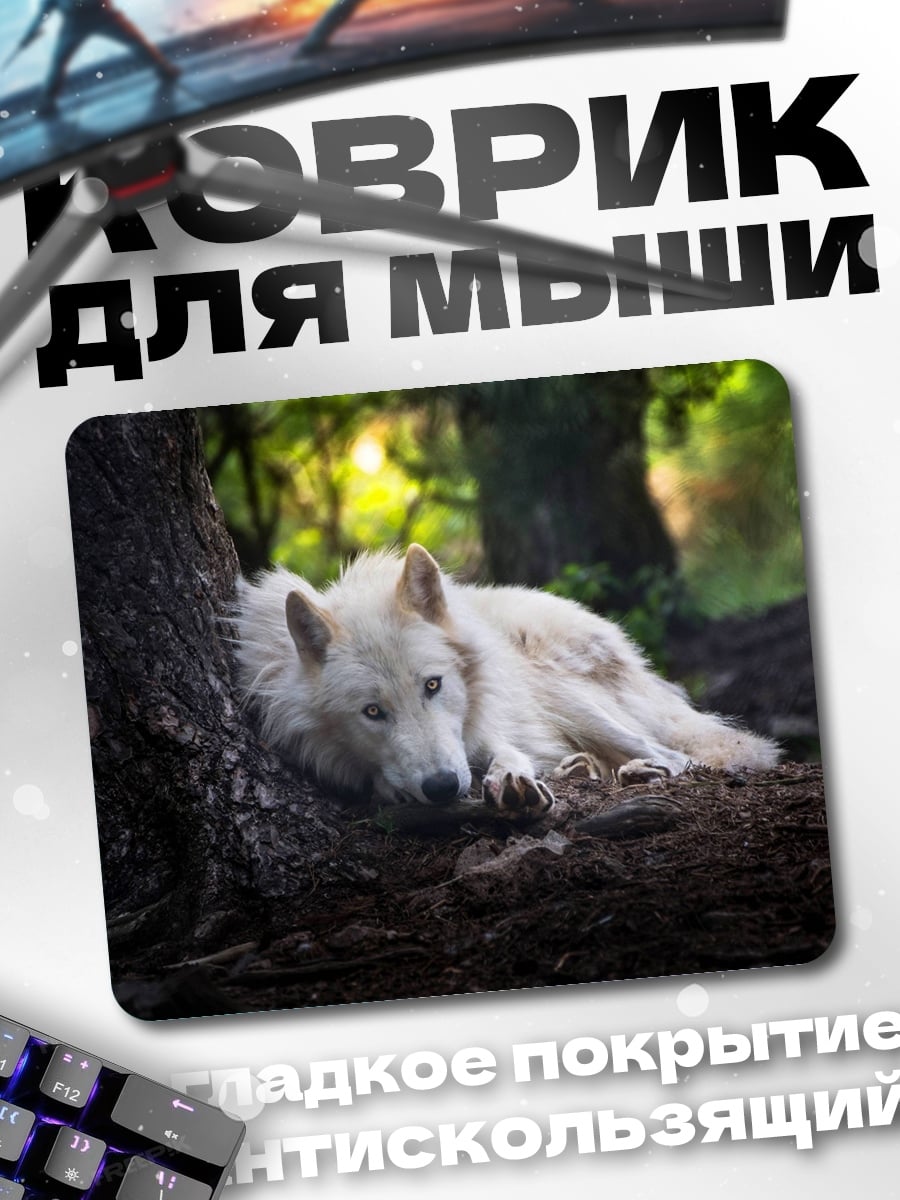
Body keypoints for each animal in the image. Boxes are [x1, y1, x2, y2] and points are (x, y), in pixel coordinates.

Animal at [233, 544, 779, 816]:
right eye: (372, 712)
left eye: (433, 685)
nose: (442, 787)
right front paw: (396, 790)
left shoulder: (492, 726)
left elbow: (506, 753)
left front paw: (512, 783)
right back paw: (583, 768)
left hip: (564, 695)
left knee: (678, 756)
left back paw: (638, 772)